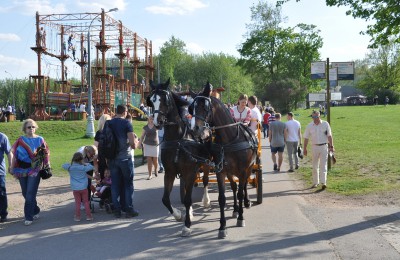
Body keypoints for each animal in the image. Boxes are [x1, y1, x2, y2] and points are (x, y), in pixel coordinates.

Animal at [146, 78, 214, 237]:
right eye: (152, 100)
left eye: (164, 99)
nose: (157, 122)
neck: (177, 139)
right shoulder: (170, 172)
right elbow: (166, 199)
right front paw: (179, 215)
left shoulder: (190, 171)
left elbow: (189, 199)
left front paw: (187, 225)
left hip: (206, 163)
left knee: (205, 180)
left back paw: (206, 200)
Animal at [189, 82, 258, 239]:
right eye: (191, 108)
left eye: (205, 107)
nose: (195, 130)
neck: (230, 140)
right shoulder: (221, 171)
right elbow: (222, 198)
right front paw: (222, 226)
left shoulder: (243, 170)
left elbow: (240, 192)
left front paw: (241, 218)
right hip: (230, 172)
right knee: (234, 186)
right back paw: (235, 209)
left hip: (249, 168)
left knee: (244, 185)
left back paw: (245, 203)